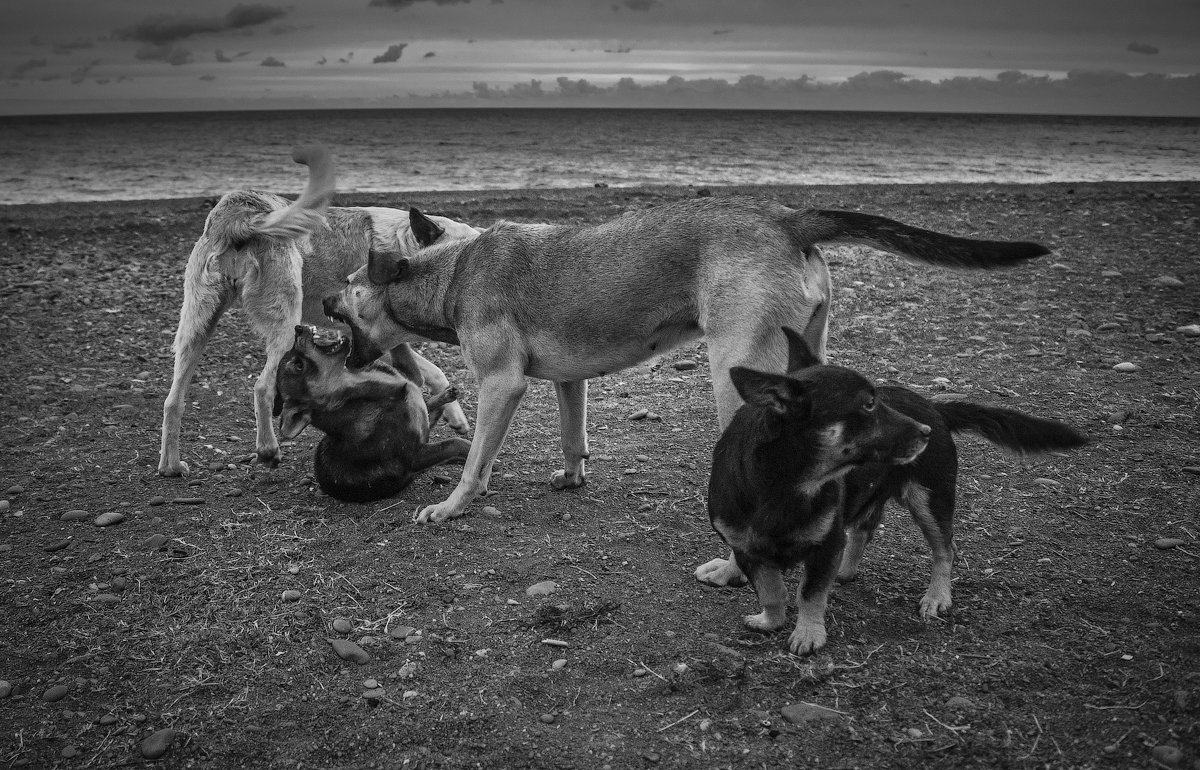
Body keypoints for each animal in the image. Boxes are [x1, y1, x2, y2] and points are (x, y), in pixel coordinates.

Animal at [157, 143, 480, 474]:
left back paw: (171, 465)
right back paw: (267, 449)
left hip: (197, 326)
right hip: (284, 324)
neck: (404, 248)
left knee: (173, 400)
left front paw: (455, 416)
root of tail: (240, 213)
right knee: (262, 386)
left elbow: (433, 371)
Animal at [700, 323, 1089, 652]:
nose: (925, 432)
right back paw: (847, 570)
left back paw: (937, 596)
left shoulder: (825, 546)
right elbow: (771, 590)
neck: (784, 484)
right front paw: (771, 621)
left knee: (944, 549)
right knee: (865, 528)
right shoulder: (746, 549)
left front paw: (808, 634)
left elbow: (809, 592)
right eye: (869, 404)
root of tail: (933, 407)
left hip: (929, 499)